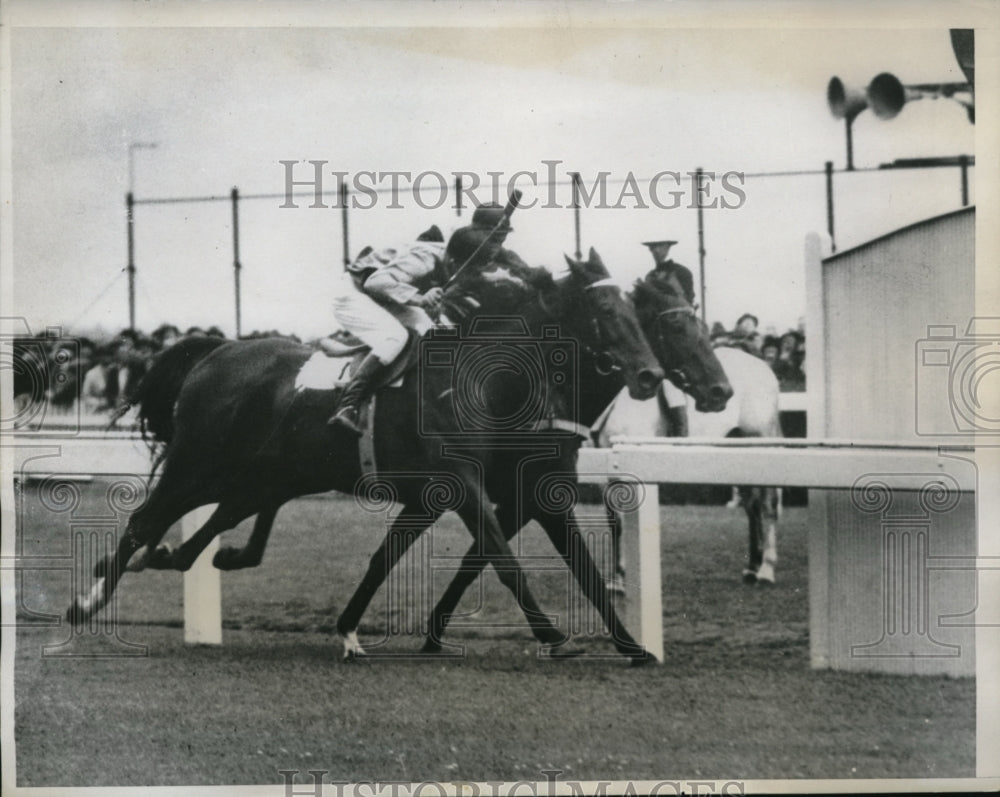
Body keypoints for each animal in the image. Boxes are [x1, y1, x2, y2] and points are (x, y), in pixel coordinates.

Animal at [70, 252, 672, 664]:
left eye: (635, 310)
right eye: (603, 309)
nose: (651, 375)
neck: (483, 382)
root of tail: (215, 351)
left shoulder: (481, 493)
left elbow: (580, 569)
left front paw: (633, 646)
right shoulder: (463, 484)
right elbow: (501, 558)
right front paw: (552, 635)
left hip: (255, 476)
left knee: (192, 535)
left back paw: (160, 560)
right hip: (200, 464)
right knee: (146, 519)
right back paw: (87, 604)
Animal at [592, 346, 780, 584]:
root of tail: (762, 365)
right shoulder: (605, 480)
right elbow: (616, 525)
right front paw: (616, 578)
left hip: (761, 444)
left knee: (768, 505)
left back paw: (766, 570)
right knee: (752, 505)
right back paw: (752, 567)